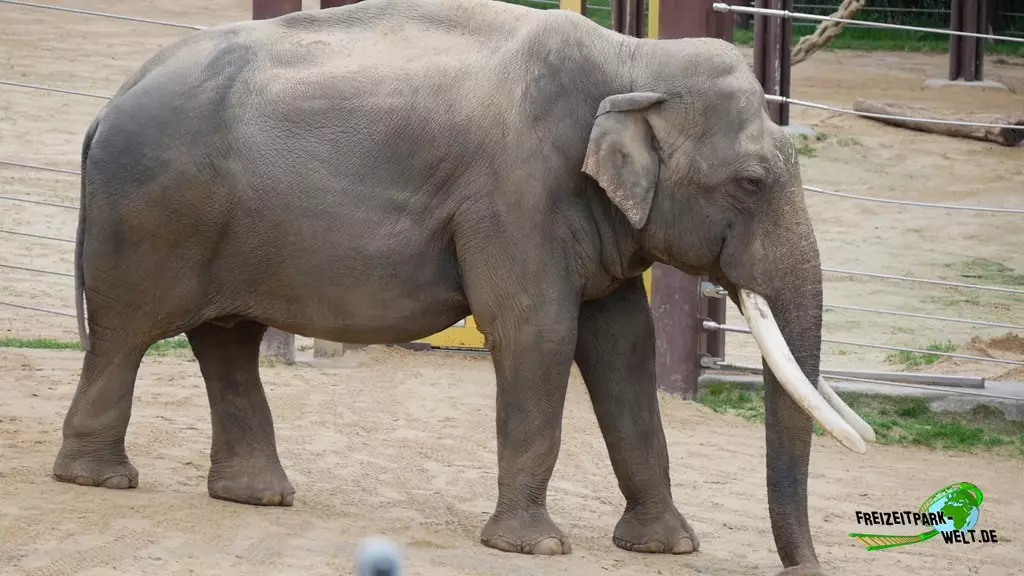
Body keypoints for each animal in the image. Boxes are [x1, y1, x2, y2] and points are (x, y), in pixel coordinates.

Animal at [52, 0, 876, 573]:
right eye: (750, 183)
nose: (807, 567)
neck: (632, 58)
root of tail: (107, 104)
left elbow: (625, 349)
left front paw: (667, 547)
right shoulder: (520, 191)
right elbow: (538, 333)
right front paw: (535, 548)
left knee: (227, 341)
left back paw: (258, 496)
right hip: (152, 216)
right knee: (127, 335)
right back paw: (99, 480)